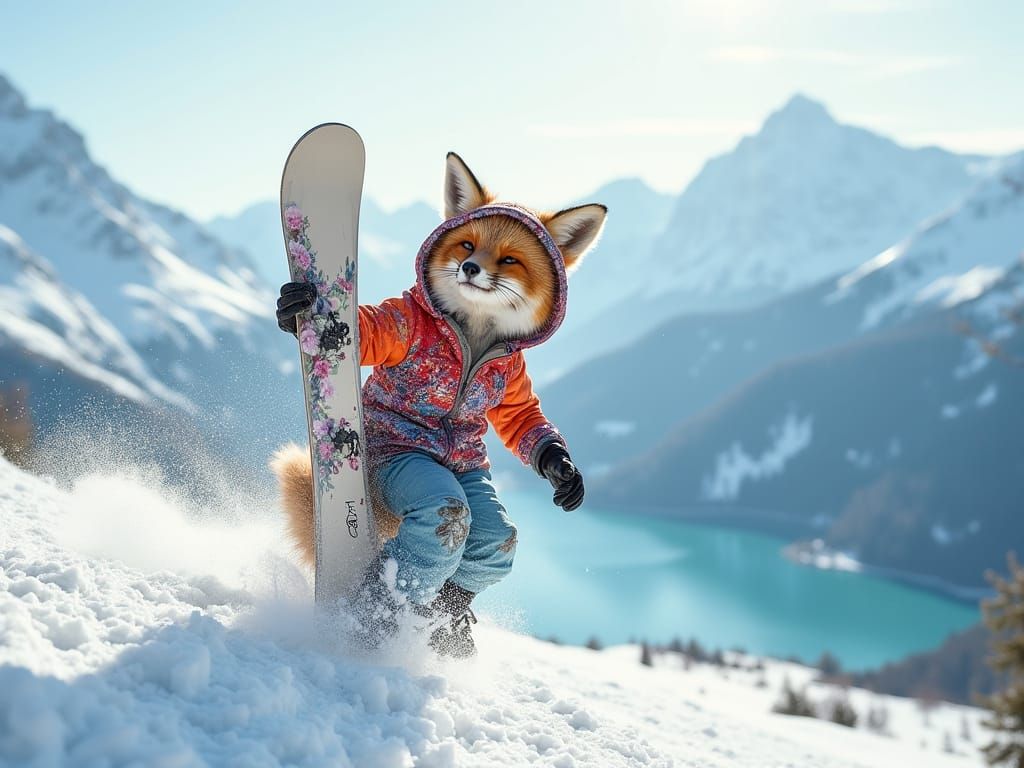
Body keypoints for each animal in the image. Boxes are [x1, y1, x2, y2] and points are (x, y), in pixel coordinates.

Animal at [273, 152, 606, 656]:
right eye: (467, 243)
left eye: (510, 259)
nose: (469, 267)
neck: (473, 339)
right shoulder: (405, 324)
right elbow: (370, 330)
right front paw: (293, 313)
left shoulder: (512, 373)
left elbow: (522, 417)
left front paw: (562, 470)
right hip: (409, 476)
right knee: (444, 522)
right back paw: (368, 618)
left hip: (475, 488)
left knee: (495, 540)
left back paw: (442, 623)